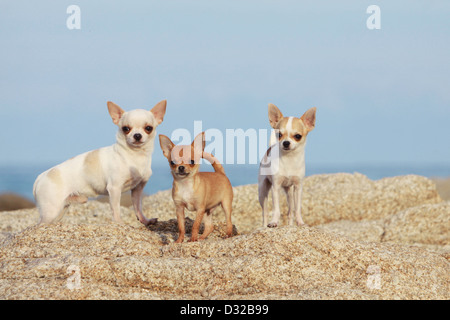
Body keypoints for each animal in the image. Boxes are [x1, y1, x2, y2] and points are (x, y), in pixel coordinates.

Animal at [33, 100, 167, 225]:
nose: (137, 135)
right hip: (51, 210)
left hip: (61, 209)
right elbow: (115, 208)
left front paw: (145, 220)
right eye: (126, 129)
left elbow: (138, 206)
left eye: (148, 128)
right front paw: (119, 223)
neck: (134, 156)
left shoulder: (137, 189)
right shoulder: (114, 188)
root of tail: (41, 176)